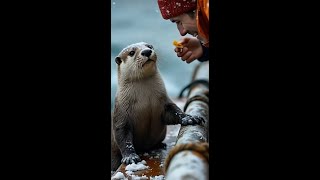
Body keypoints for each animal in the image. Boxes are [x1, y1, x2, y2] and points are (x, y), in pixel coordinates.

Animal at [111, 41, 204, 170]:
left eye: (149, 46)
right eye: (131, 52)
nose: (146, 51)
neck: (144, 97)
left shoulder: (164, 101)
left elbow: (175, 112)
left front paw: (189, 118)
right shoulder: (121, 111)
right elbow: (122, 135)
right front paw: (130, 157)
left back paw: (160, 145)